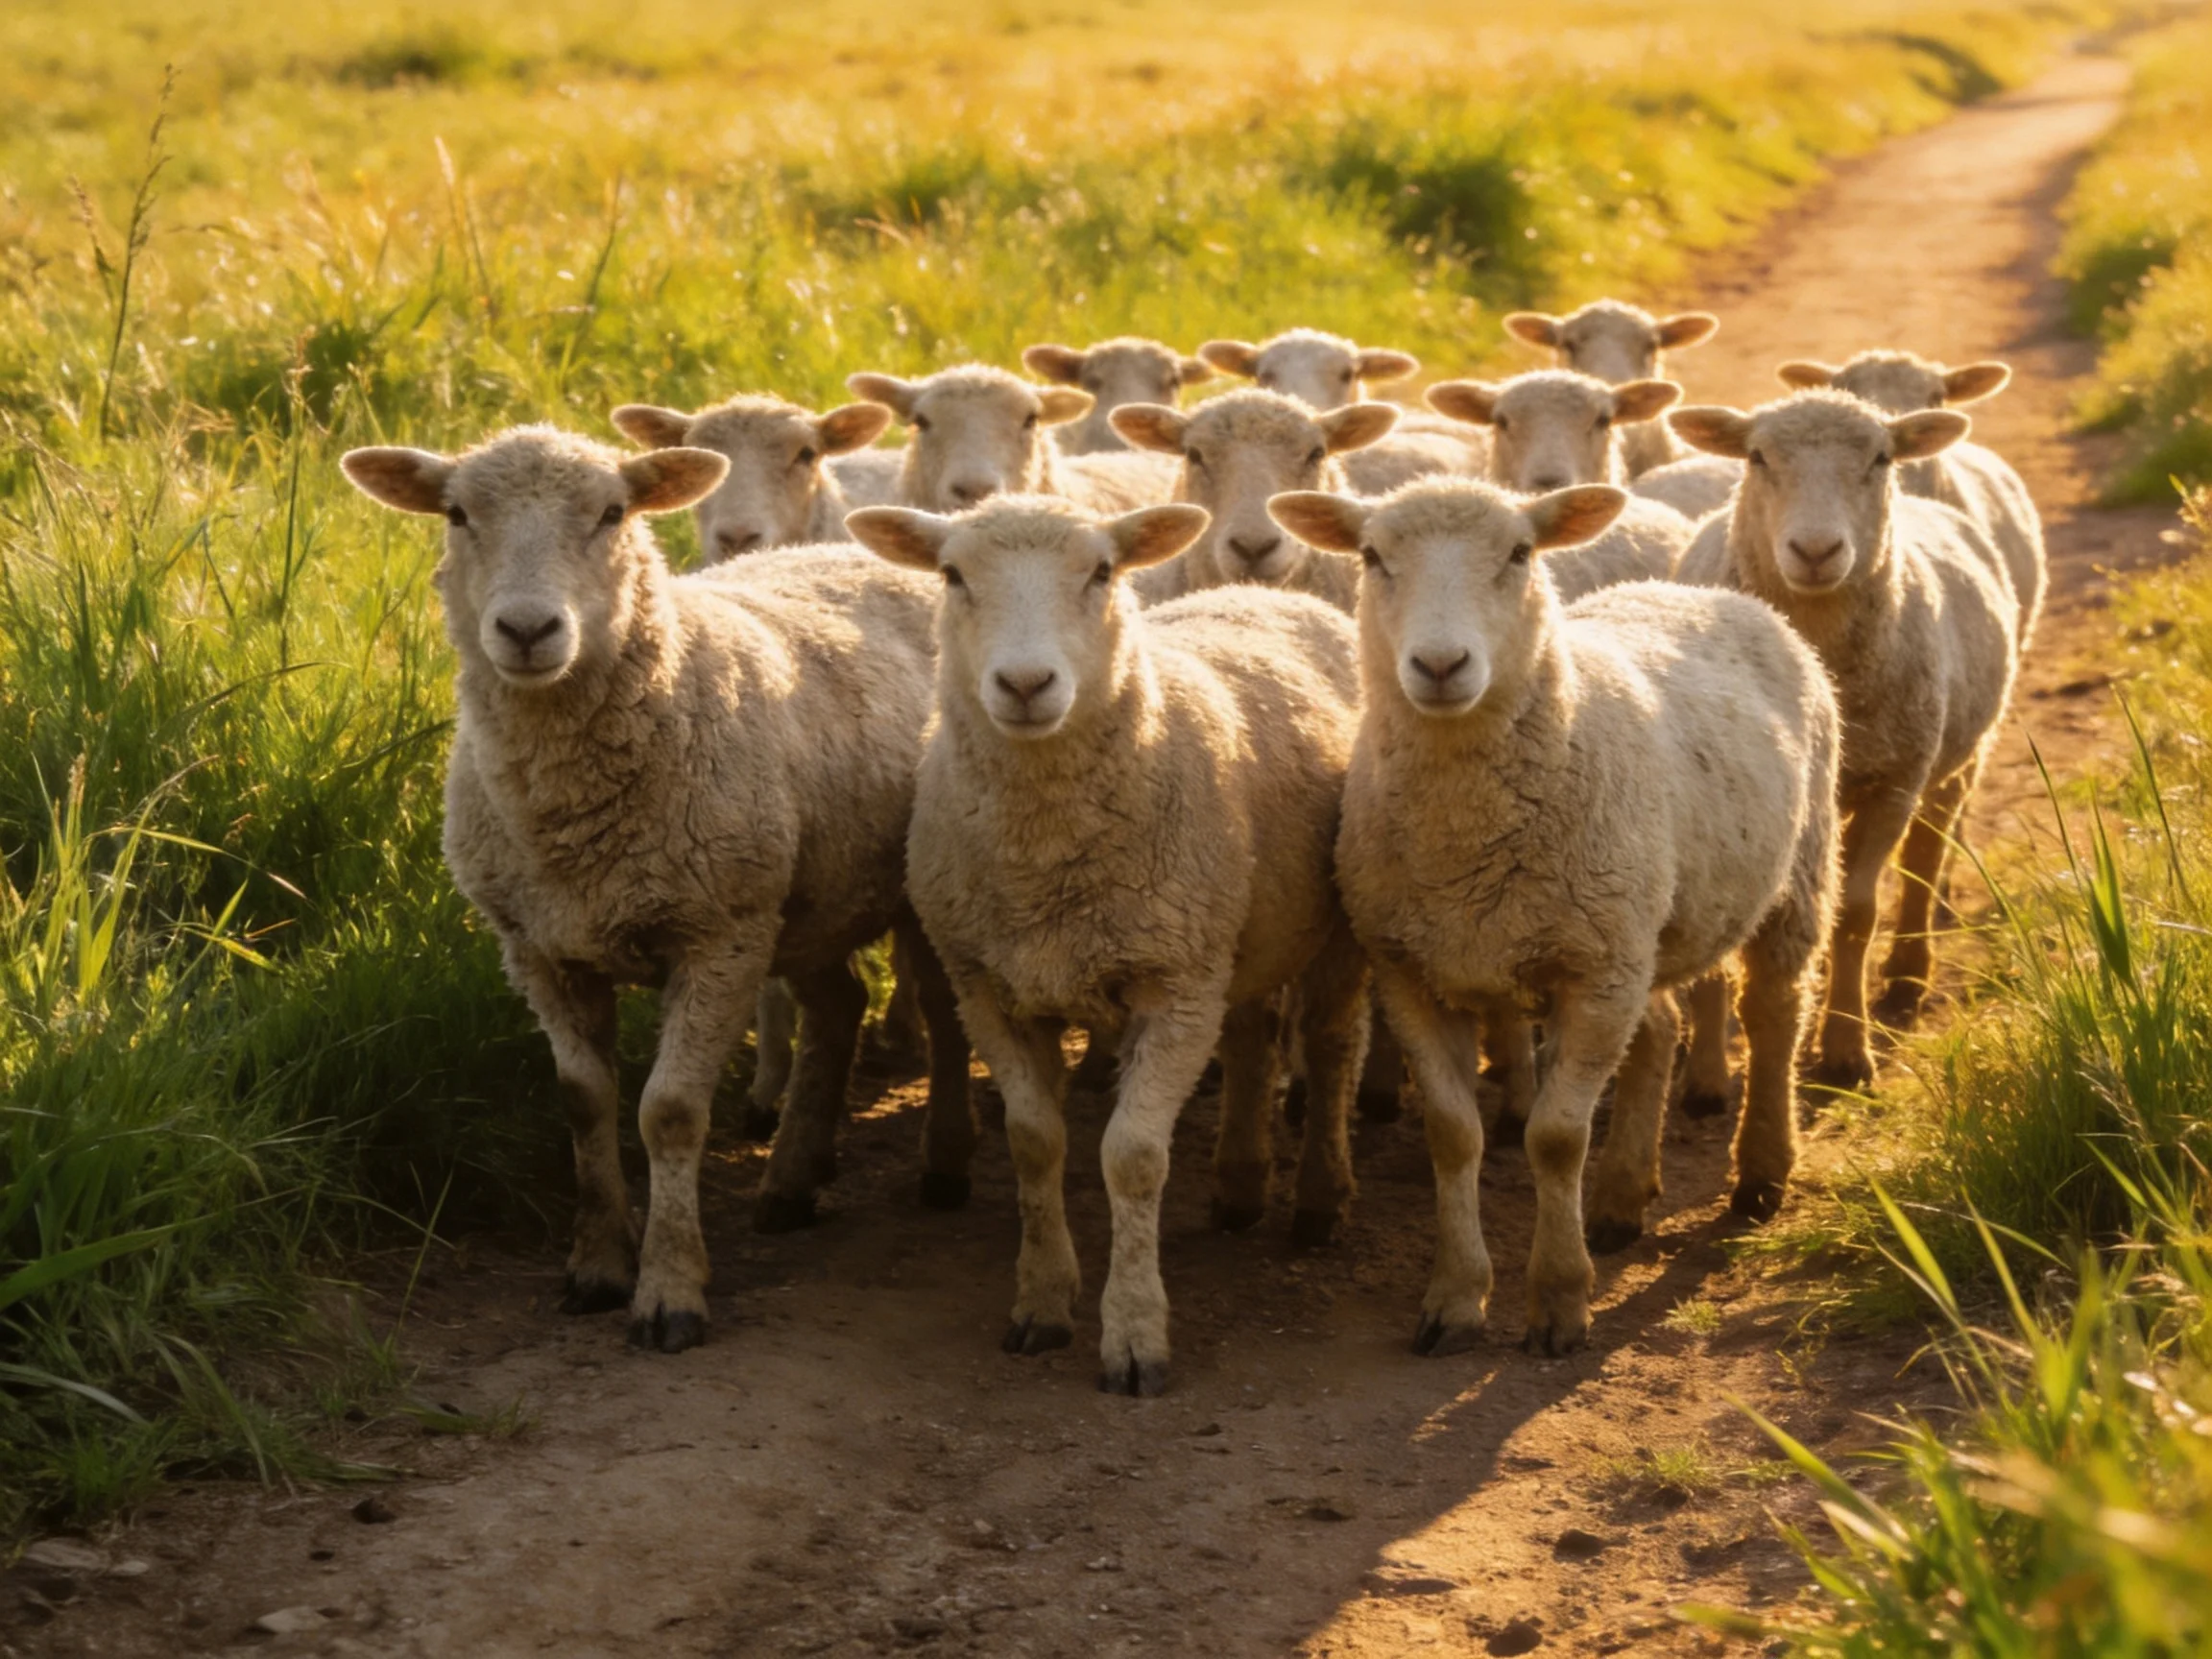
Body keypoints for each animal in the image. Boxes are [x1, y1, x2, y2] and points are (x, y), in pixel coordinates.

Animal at [339, 425, 976, 1353]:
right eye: (456, 514)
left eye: (613, 513)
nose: (527, 628)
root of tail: (859, 547)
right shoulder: (538, 948)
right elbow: (583, 1102)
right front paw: (598, 1265)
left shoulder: (718, 935)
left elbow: (668, 1111)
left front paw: (670, 1290)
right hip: (803, 892)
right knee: (837, 1009)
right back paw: (791, 1181)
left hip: (898, 883)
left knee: (940, 1011)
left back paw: (945, 1165)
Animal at [844, 495, 1369, 1396]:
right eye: (952, 574)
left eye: (1100, 572)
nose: (1025, 685)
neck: (1045, 859)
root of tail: (1260, 592)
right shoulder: (989, 985)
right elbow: (1034, 1143)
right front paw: (1041, 1301)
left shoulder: (1174, 985)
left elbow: (1131, 1156)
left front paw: (1133, 1336)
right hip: (1232, 929)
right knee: (1252, 1037)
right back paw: (1239, 1187)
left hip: (1317, 928)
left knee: (1332, 1047)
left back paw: (1319, 1201)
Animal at [1268, 476, 1839, 1355]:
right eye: (1371, 556)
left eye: (1519, 552)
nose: (1441, 665)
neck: (1464, 836)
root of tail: (1706, 593)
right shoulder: (1412, 973)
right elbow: (1453, 1135)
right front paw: (1455, 1298)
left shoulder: (1593, 975)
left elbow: (1555, 1137)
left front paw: (1561, 1300)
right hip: (1638, 924)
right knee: (1662, 1028)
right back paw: (1621, 1198)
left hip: (1793, 873)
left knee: (1775, 1011)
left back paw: (1761, 1175)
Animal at [1669, 391, 2019, 1095]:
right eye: (1756, 456)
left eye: (1880, 457)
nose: (1815, 550)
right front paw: (1707, 1073)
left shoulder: (1894, 782)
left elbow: (1857, 913)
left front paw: (1844, 1049)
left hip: (1950, 762)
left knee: (1926, 859)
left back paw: (1909, 971)